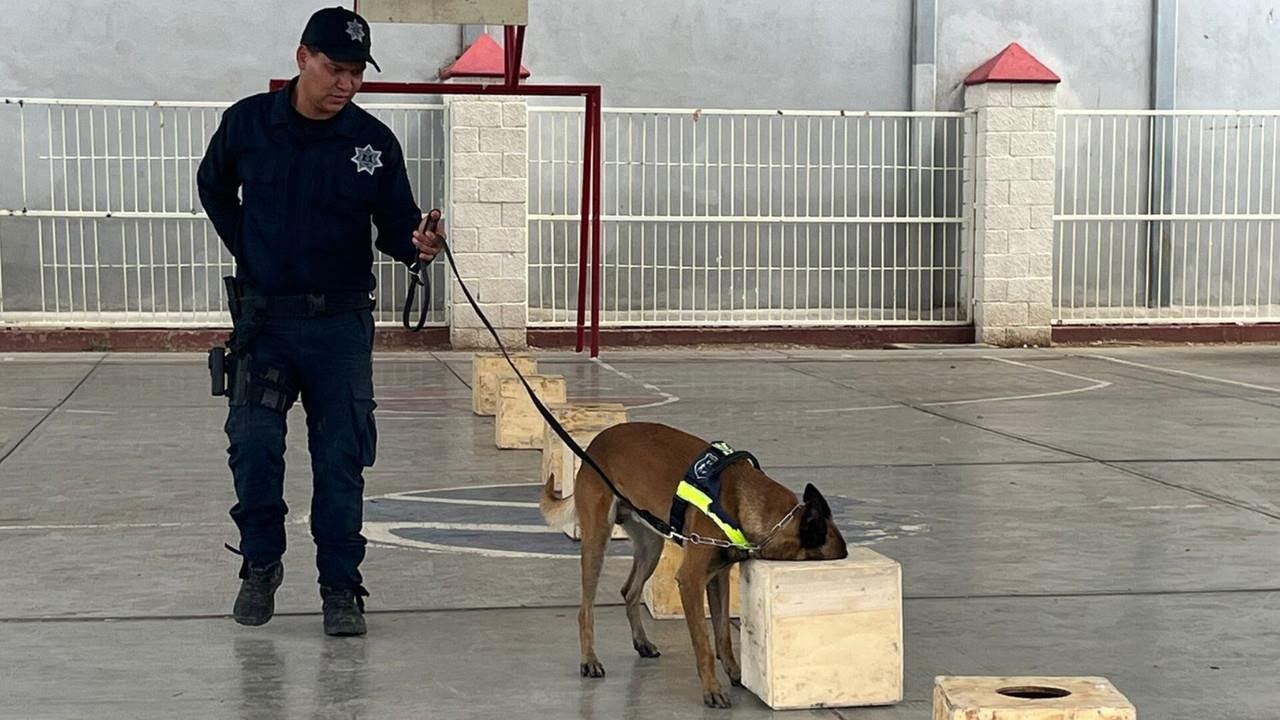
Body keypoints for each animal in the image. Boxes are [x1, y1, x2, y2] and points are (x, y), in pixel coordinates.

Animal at [535, 420, 844, 707]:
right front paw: (712, 689)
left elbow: (723, 634)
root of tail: (594, 445)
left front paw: (735, 673)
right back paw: (590, 659)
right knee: (585, 609)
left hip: (651, 546)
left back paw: (641, 642)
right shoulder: (691, 580)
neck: (742, 499)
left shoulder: (717, 577)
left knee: (629, 590)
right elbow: (703, 643)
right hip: (597, 541)